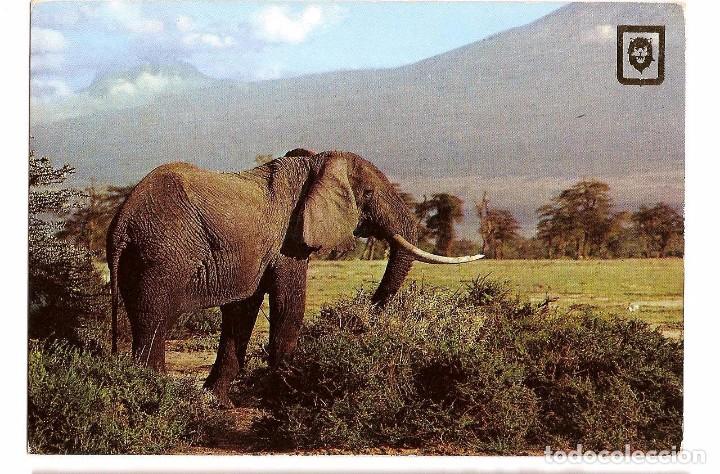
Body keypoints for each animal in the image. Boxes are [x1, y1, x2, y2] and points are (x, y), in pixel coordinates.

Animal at [106, 148, 482, 405]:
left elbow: (242, 311)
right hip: (163, 256)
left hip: (138, 260)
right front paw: (282, 395)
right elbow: (289, 305)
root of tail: (122, 220)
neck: (312, 164)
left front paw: (218, 401)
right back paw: (155, 396)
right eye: (368, 194)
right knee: (154, 322)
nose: (365, 315)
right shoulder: (289, 239)